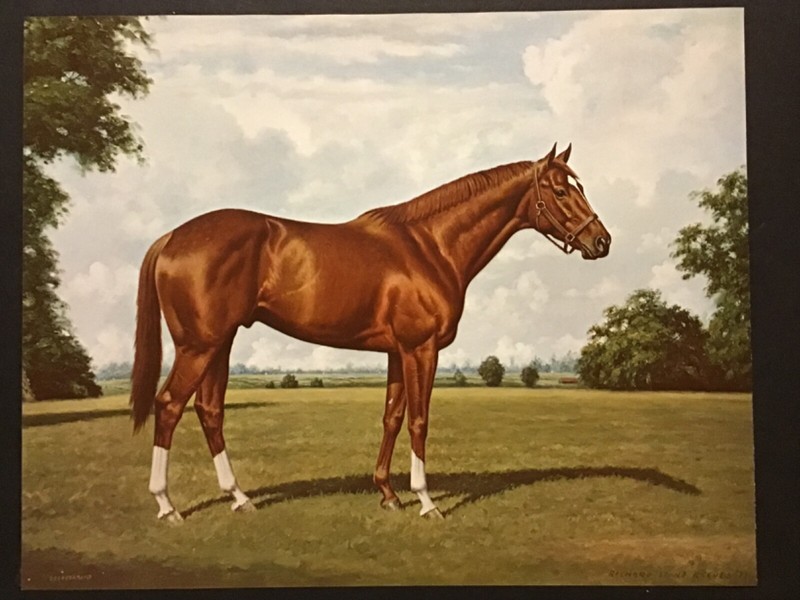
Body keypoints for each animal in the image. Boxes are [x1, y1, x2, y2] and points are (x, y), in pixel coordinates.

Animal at [130, 142, 611, 522]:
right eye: (561, 191)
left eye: (581, 187)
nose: (602, 241)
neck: (429, 246)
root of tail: (172, 238)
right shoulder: (421, 349)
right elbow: (419, 420)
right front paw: (426, 501)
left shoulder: (397, 352)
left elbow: (392, 418)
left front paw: (388, 494)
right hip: (199, 345)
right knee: (169, 406)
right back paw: (167, 506)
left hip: (220, 343)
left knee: (209, 410)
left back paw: (239, 498)